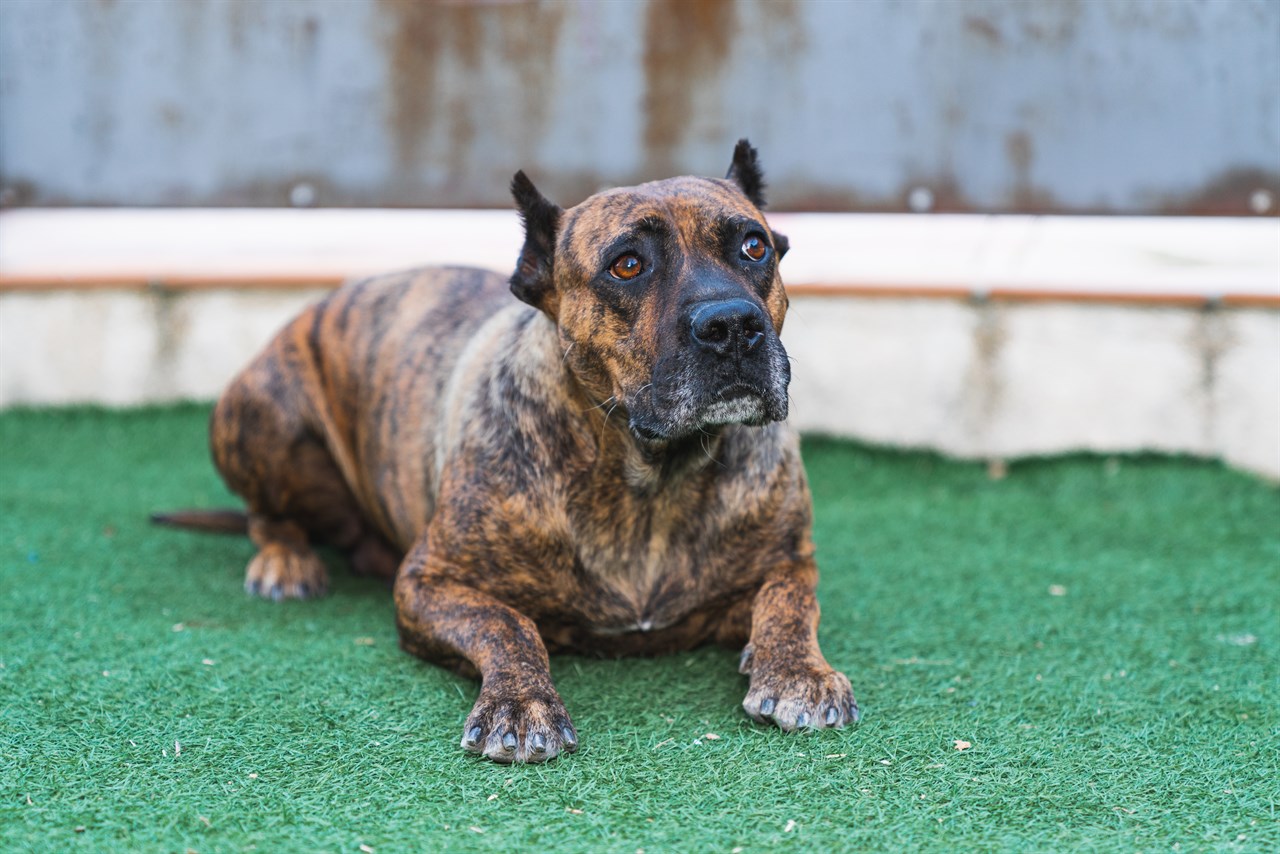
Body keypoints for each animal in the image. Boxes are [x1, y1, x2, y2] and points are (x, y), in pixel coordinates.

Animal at [160, 142, 860, 768]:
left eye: (754, 246)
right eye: (627, 265)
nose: (732, 325)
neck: (651, 478)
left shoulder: (790, 563)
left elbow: (789, 603)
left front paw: (797, 671)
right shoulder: (429, 583)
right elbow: (508, 624)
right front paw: (521, 705)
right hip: (266, 412)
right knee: (266, 515)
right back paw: (284, 561)